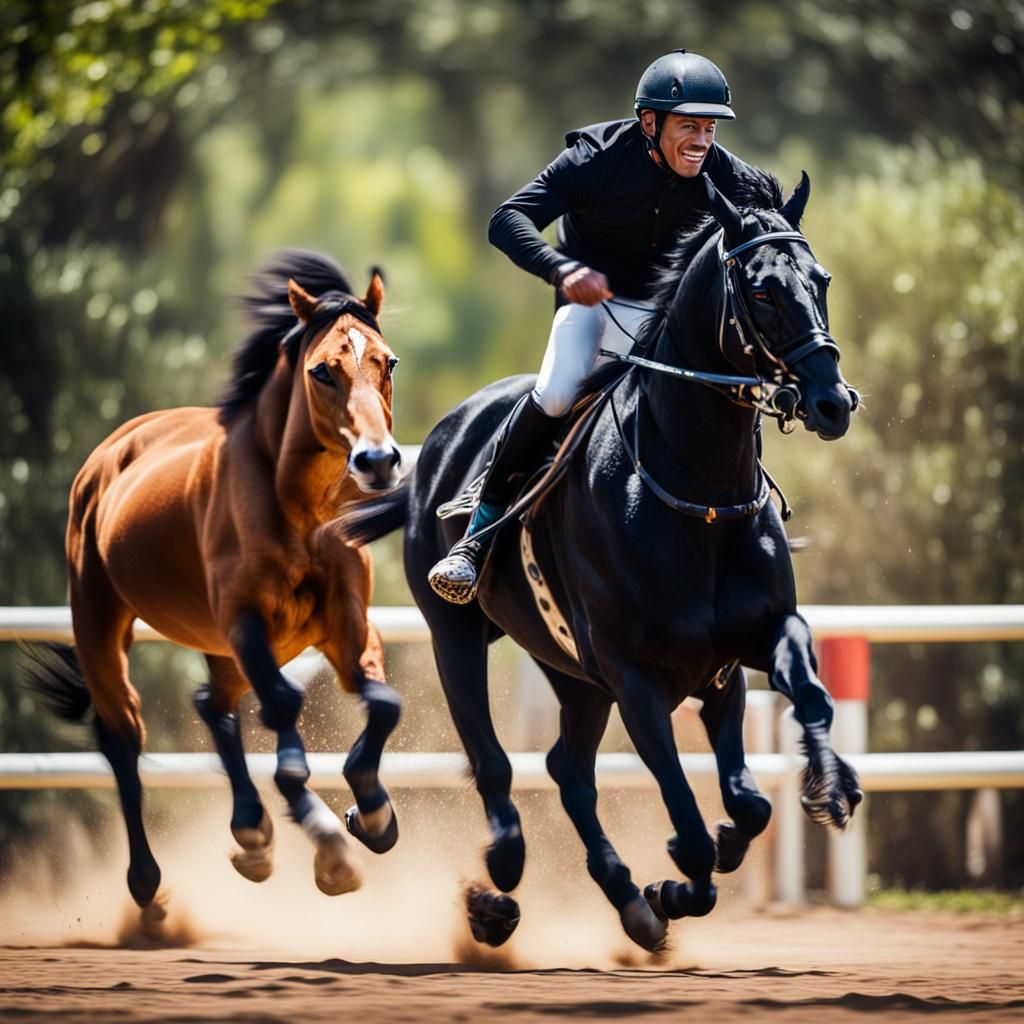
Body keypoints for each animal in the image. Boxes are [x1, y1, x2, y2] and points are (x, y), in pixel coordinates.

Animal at [25, 250, 404, 937]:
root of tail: (109, 453)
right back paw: (150, 891)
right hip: (101, 623)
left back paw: (251, 836)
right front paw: (330, 848)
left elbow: (383, 702)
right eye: (321, 370)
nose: (378, 461)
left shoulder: (346, 624)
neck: (297, 510)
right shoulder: (246, 624)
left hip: (219, 648)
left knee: (211, 705)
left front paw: (372, 814)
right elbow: (283, 716)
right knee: (123, 739)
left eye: (386, 362)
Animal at [340, 171, 863, 952]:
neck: (699, 493)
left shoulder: (742, 649)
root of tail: (435, 443)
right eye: (763, 290)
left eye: (820, 279)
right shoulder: (636, 679)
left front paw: (832, 787)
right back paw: (491, 887)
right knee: (495, 761)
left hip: (573, 674)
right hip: (456, 633)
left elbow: (771, 759)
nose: (834, 402)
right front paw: (674, 882)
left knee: (569, 770)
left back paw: (623, 899)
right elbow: (693, 825)